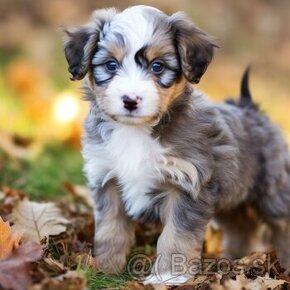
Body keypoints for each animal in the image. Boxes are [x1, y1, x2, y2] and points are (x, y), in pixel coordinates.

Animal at [63, 5, 290, 286]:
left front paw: (167, 276)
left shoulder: (186, 185)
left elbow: (176, 236)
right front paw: (106, 269)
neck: (137, 131)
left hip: (273, 192)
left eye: (158, 66)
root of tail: (250, 107)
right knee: (240, 225)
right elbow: (110, 228)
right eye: (111, 65)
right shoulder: (108, 179)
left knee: (282, 226)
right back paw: (234, 258)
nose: (130, 100)